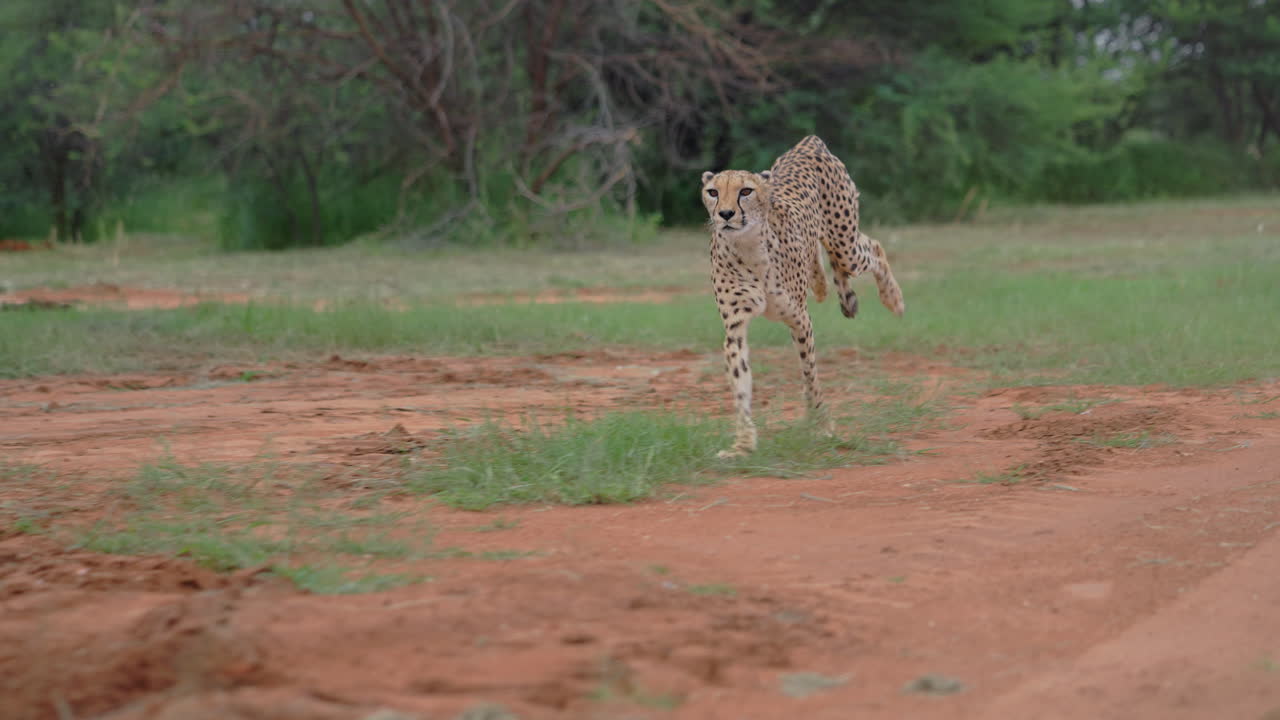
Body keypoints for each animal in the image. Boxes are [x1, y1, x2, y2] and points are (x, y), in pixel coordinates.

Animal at [700, 135, 905, 458]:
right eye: (713, 192)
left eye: (745, 191)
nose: (726, 214)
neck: (748, 246)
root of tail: (807, 142)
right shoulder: (735, 328)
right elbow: (740, 384)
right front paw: (743, 443)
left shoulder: (799, 319)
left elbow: (810, 373)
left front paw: (820, 424)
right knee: (826, 265)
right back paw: (826, 288)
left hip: (845, 243)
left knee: (873, 247)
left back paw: (892, 299)